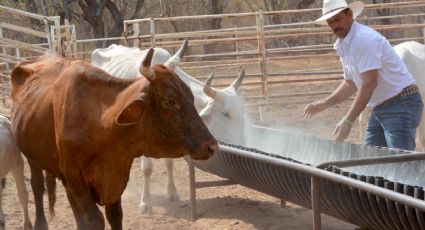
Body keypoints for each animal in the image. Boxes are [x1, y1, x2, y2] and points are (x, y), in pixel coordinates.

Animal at [10, 45, 219, 230]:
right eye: (170, 101)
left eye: (191, 97)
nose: (212, 146)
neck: (101, 122)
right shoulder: (75, 178)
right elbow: (94, 220)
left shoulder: (115, 177)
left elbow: (114, 216)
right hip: (32, 158)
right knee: (37, 187)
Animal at [91, 40, 247, 213]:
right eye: (226, 114)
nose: (243, 142)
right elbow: (147, 168)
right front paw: (145, 202)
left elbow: (169, 163)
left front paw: (172, 193)